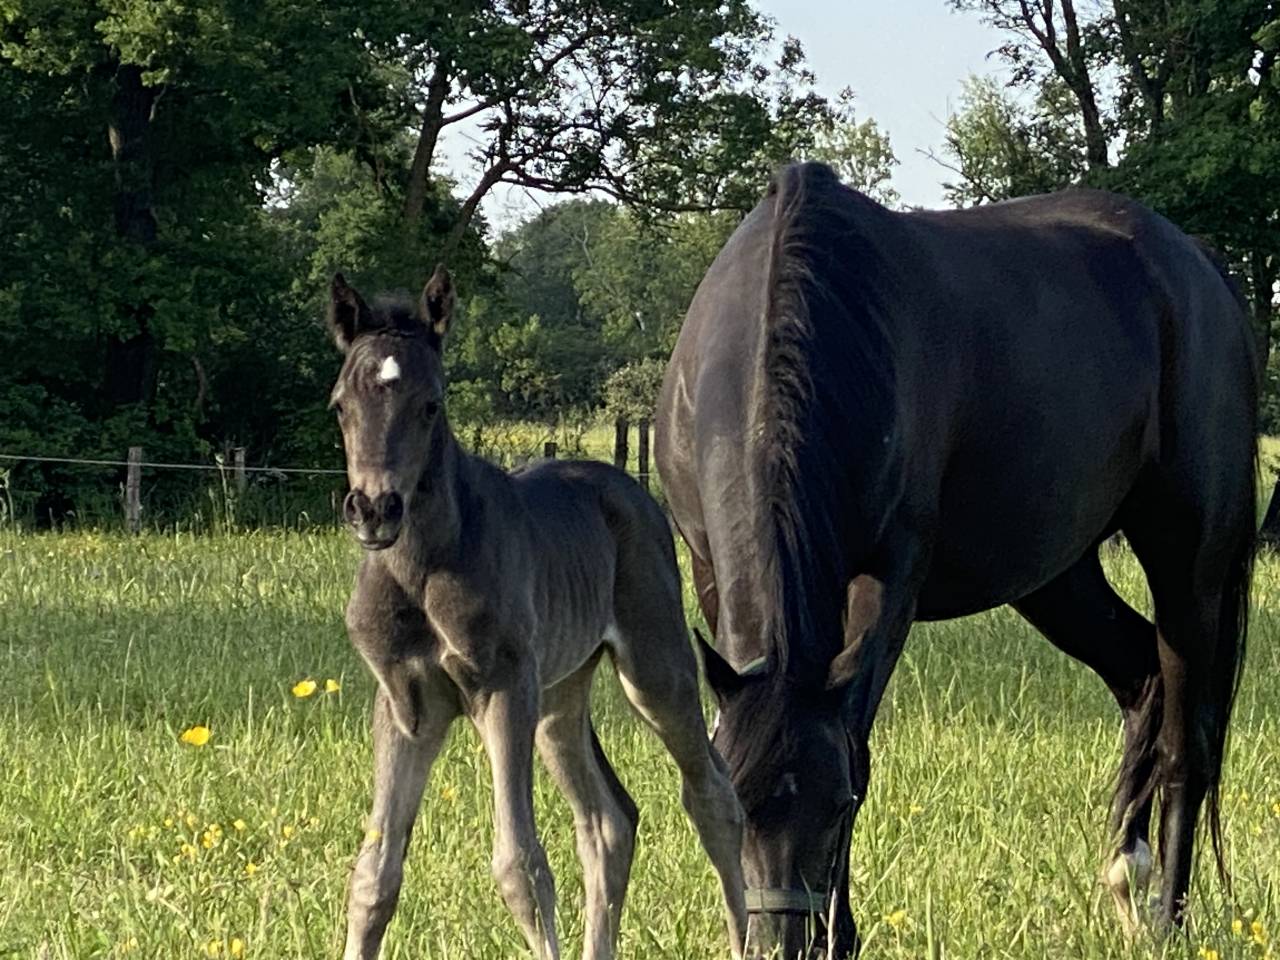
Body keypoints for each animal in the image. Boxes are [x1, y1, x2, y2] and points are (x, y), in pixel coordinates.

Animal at [328, 266, 748, 960]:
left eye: (431, 404)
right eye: (340, 405)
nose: (374, 509)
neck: (421, 569)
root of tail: (632, 488)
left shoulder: (503, 687)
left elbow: (520, 867)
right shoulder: (405, 704)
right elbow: (374, 875)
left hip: (652, 666)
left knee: (713, 795)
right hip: (559, 698)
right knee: (608, 821)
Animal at [655, 161, 1258, 959]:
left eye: (839, 804)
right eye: (731, 806)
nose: (785, 944)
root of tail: (1199, 268)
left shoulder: (889, 583)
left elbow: (859, 741)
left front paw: (845, 934)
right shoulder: (709, 573)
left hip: (1190, 563)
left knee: (1188, 737)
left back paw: (1164, 914)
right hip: (1060, 577)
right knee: (1141, 679)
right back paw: (1125, 884)